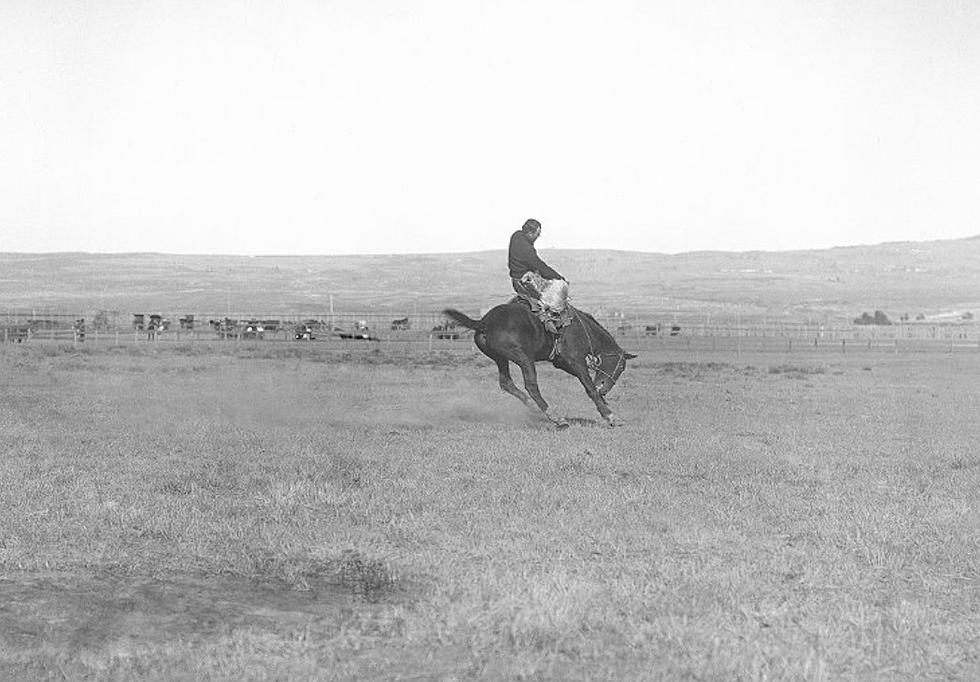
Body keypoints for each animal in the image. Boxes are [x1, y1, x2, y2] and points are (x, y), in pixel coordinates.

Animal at [442, 302, 636, 424]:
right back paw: (555, 417)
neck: (583, 330)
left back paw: (533, 407)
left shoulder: (563, 363)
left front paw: (605, 403)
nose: (605, 388)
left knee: (506, 383)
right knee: (531, 385)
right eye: (621, 367)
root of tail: (485, 321)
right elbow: (589, 387)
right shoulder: (576, 361)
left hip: (500, 359)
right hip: (523, 358)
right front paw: (610, 416)